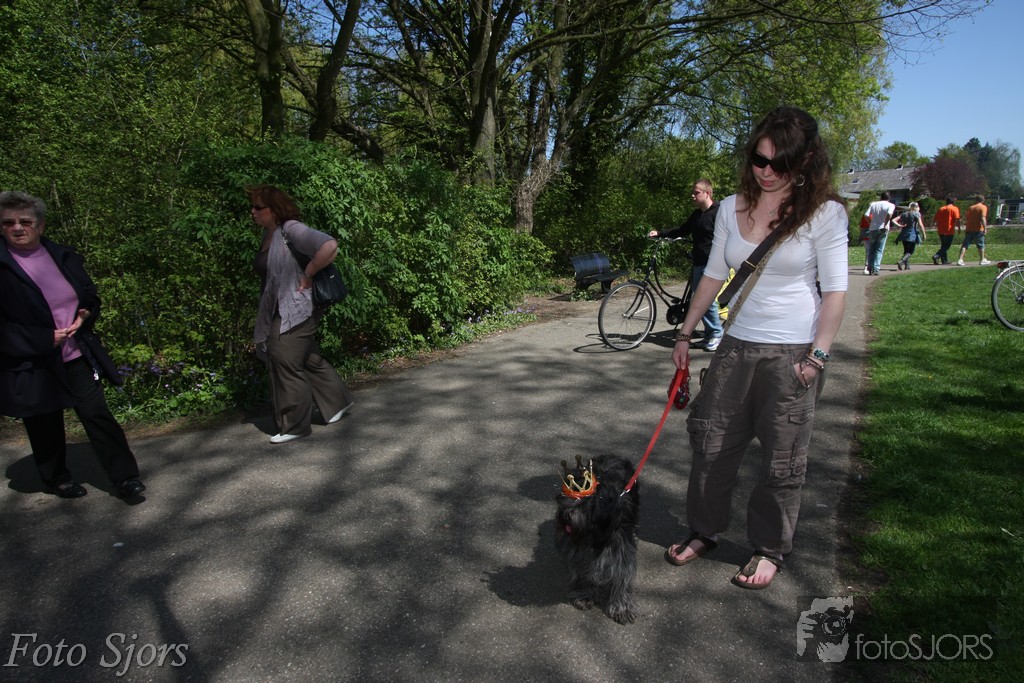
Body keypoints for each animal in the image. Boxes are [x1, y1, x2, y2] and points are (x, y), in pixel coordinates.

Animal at [554, 454, 640, 624]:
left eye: (583, 502)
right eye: (564, 498)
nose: (565, 516)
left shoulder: (622, 548)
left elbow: (622, 575)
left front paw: (621, 608)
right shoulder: (582, 551)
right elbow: (587, 570)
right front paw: (585, 596)